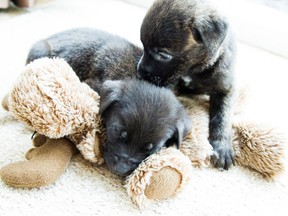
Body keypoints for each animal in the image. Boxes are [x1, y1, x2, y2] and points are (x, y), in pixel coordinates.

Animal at [138, 0, 237, 170]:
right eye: (143, 46)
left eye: (163, 55)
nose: (138, 72)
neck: (194, 70)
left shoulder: (225, 89)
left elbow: (223, 117)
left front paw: (222, 147)